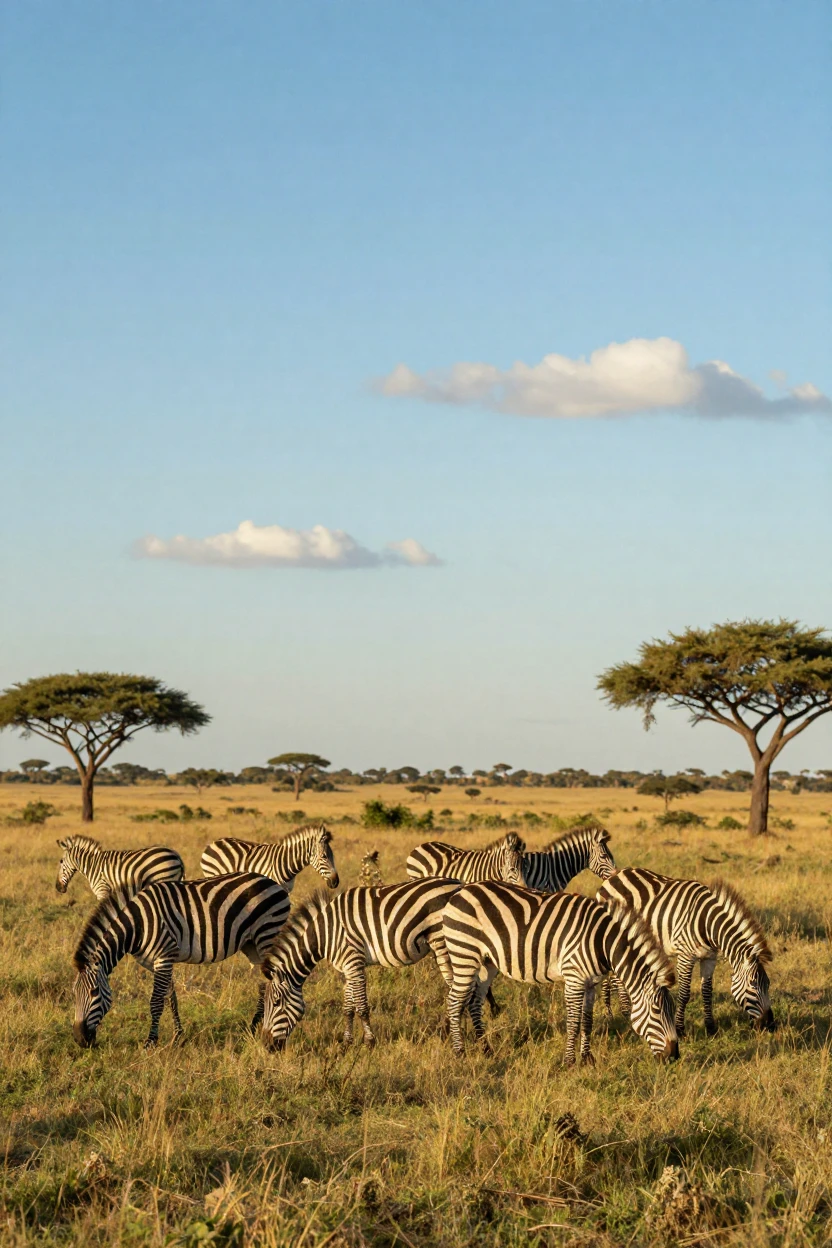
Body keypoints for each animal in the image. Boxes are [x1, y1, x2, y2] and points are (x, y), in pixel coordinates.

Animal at [71, 874, 290, 1049]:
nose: (80, 1040)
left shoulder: (164, 956)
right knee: (263, 985)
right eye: (73, 993)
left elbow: (156, 1001)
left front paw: (151, 1041)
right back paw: (251, 1028)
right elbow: (170, 997)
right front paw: (178, 1036)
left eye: (94, 992)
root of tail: (272, 882)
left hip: (267, 935)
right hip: (251, 945)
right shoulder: (154, 962)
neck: (137, 924)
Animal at [200, 823, 339, 892]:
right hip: (212, 874)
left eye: (333, 856)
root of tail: (213, 843)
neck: (285, 862)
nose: (336, 882)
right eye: (324, 856)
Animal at [260, 879, 475, 1051]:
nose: (267, 1046)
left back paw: (454, 1034)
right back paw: (449, 1032)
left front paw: (369, 1042)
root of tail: (459, 884)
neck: (325, 934)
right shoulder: (347, 965)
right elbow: (348, 1007)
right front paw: (346, 1044)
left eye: (276, 1003)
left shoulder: (353, 960)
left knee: (463, 990)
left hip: (448, 944)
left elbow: (361, 1006)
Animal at [442, 882, 679, 1065]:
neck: (602, 942)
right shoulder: (574, 978)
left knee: (474, 1002)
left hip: (486, 962)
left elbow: (587, 1020)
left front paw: (587, 1059)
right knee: (454, 1001)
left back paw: (486, 1050)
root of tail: (462, 890)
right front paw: (569, 1061)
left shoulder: (591, 983)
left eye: (672, 1009)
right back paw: (459, 1052)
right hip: (464, 954)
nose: (674, 1055)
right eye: (657, 1011)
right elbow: (573, 1021)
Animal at [596, 869, 775, 1035]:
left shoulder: (710, 957)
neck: (707, 923)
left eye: (768, 984)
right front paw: (680, 1029)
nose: (770, 1025)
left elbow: (707, 992)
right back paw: (619, 1014)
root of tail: (613, 876)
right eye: (753, 986)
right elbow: (684, 993)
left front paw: (711, 1028)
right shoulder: (685, 956)